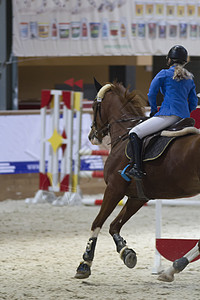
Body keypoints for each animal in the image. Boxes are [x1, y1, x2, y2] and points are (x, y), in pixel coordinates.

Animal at [75, 79, 200, 282]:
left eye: (94, 106)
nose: (92, 136)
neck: (125, 134)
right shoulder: (138, 196)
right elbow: (114, 225)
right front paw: (126, 253)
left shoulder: (114, 189)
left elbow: (97, 222)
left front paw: (85, 263)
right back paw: (172, 269)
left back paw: (173, 268)